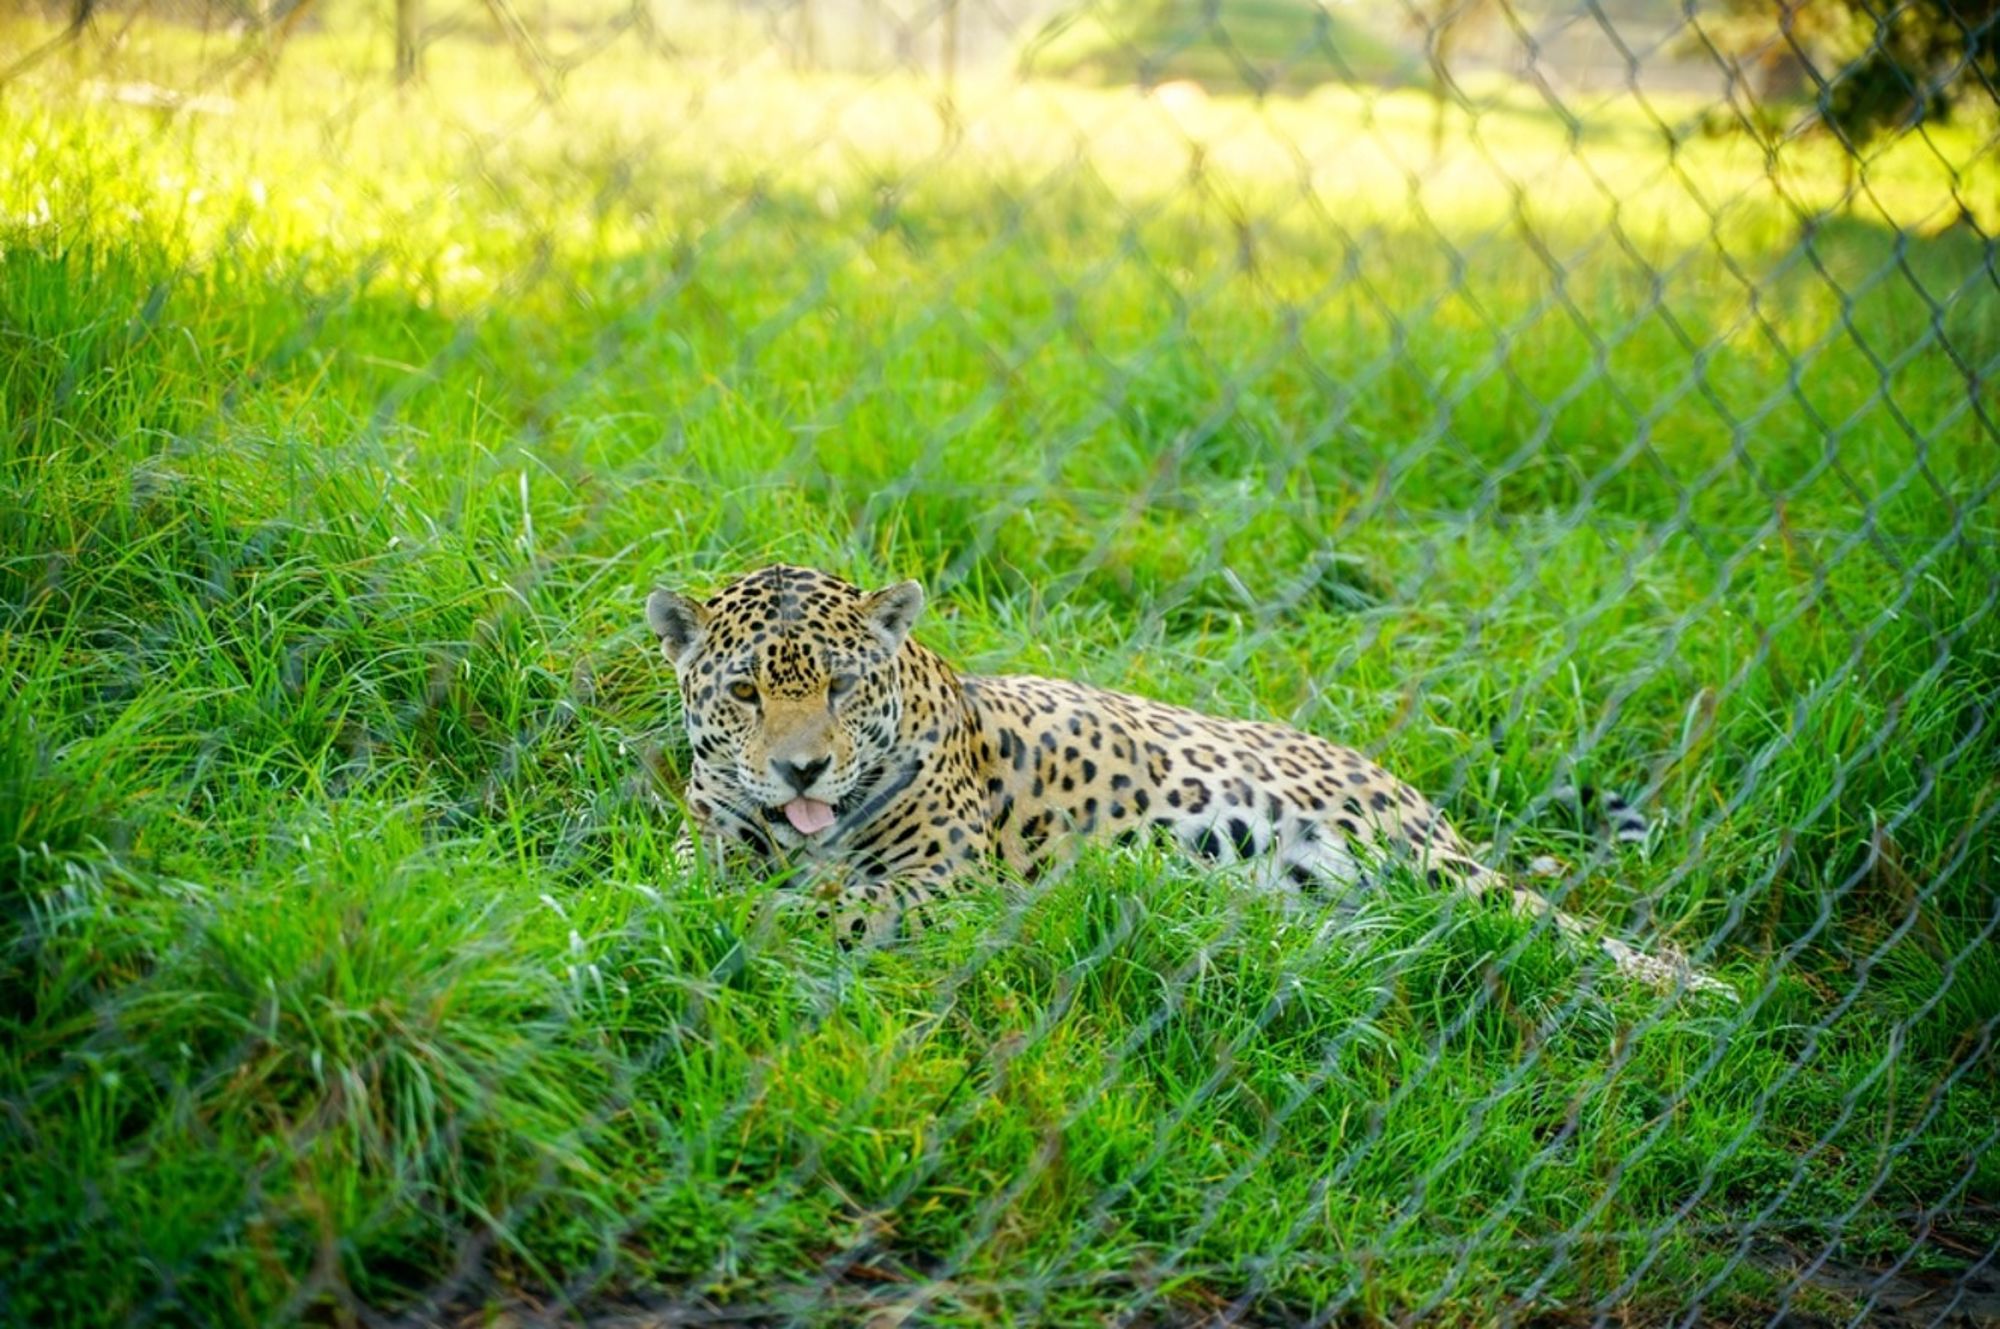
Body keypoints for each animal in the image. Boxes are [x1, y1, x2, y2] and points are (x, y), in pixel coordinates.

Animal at [645, 564, 1733, 998]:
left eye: (840, 686)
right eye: (745, 690)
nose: (801, 766)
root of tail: (1407, 786)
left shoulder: (947, 883)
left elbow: (835, 904)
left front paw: (775, 915)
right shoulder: (701, 844)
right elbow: (688, 889)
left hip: (1428, 864)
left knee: (1560, 929)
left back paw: (1704, 992)